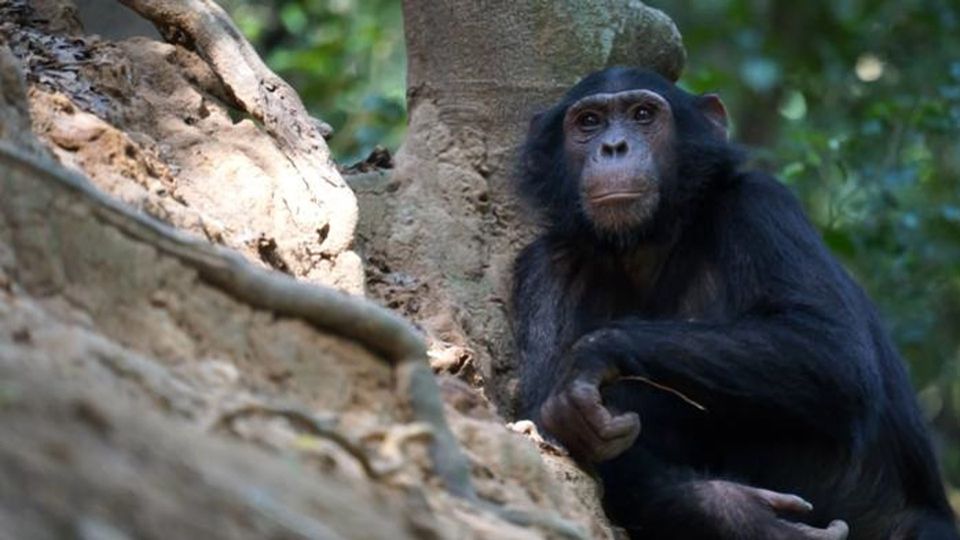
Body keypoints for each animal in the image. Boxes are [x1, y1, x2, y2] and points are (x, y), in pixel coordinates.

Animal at [512, 67, 956, 540]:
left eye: (643, 115)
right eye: (589, 121)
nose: (614, 145)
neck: (649, 242)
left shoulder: (760, 205)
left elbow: (832, 347)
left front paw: (591, 357)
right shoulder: (547, 266)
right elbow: (547, 429)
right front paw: (743, 513)